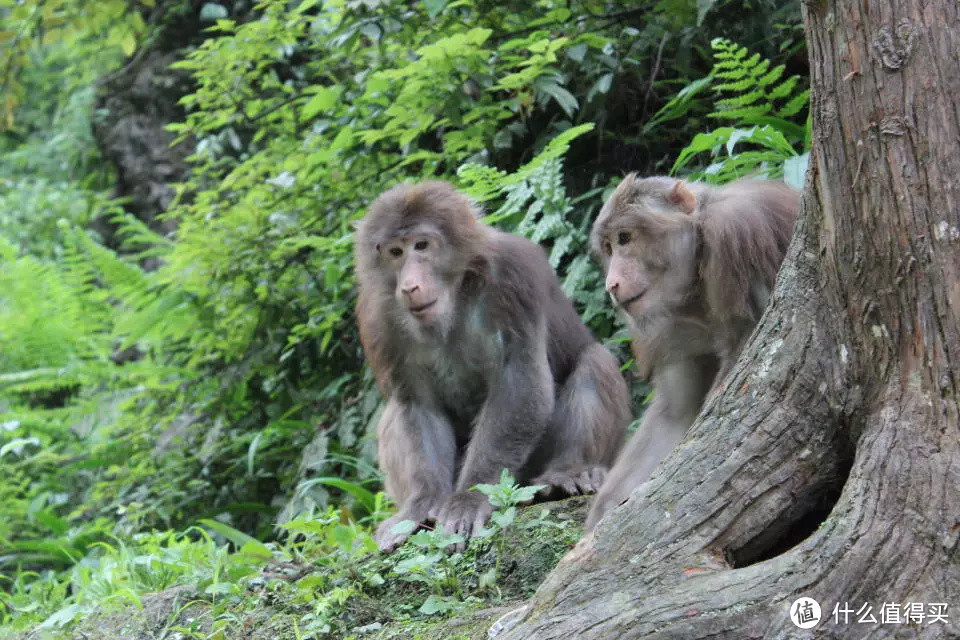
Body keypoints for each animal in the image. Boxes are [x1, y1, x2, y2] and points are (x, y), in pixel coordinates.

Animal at [352, 180, 632, 552]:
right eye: (395, 253)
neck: (455, 296)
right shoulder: (378, 316)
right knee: (393, 411)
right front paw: (422, 503)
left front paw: (469, 500)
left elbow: (520, 384)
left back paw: (569, 472)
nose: (410, 286)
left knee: (594, 360)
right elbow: (417, 404)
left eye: (422, 245)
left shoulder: (514, 275)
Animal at [584, 172, 804, 528]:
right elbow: (676, 414)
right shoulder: (667, 326)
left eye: (625, 237)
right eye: (608, 247)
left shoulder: (737, 235)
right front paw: (604, 516)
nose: (612, 285)